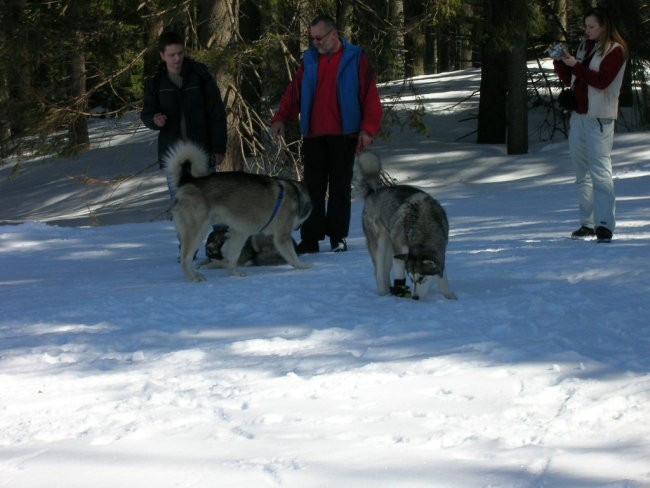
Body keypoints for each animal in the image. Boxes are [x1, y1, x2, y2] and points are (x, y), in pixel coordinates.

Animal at [165, 140, 312, 282]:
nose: (298, 226)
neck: (296, 194)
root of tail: (187, 180)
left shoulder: (240, 233)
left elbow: (233, 257)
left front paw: (234, 273)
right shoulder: (282, 236)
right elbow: (292, 255)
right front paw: (302, 266)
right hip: (196, 231)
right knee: (185, 258)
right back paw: (193, 277)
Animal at [354, 151, 456, 300]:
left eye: (421, 278)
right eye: (411, 279)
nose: (415, 298)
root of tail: (373, 192)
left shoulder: (440, 252)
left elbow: (443, 276)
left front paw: (450, 296)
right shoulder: (400, 251)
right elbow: (399, 274)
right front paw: (400, 290)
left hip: (389, 247)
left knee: (385, 271)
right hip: (380, 245)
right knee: (379, 272)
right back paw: (385, 293)